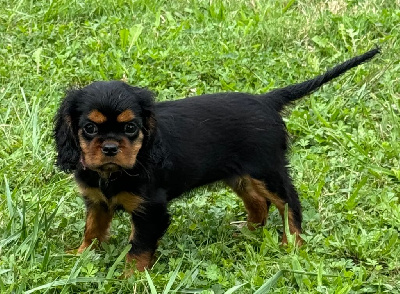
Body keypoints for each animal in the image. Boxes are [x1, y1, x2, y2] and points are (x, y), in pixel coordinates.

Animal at [53, 47, 378, 272]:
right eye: (89, 128)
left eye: (131, 128)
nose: (109, 147)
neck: (111, 172)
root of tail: (266, 100)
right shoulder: (96, 202)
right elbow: (92, 229)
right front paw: (80, 257)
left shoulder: (151, 210)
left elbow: (139, 249)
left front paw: (129, 279)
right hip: (240, 176)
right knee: (258, 204)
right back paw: (249, 232)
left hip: (267, 170)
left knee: (289, 203)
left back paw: (292, 243)